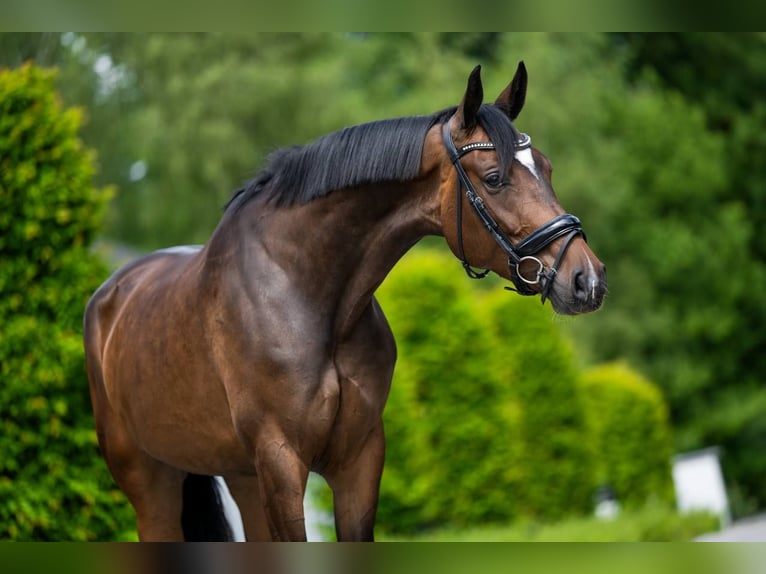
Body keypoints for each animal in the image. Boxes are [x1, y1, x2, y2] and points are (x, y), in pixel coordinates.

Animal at [84, 63, 608, 544]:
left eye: (547, 168)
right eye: (495, 177)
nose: (587, 279)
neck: (310, 294)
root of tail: (110, 295)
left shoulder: (359, 457)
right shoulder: (281, 460)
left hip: (239, 474)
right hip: (150, 479)